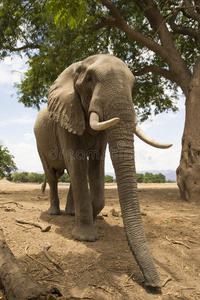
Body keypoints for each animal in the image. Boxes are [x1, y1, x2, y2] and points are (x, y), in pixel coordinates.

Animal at [34, 54, 172, 288]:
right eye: (89, 79)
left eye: (133, 85)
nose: (153, 284)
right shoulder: (66, 116)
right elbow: (76, 162)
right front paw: (85, 237)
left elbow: (96, 165)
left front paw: (88, 214)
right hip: (39, 141)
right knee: (52, 175)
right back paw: (55, 213)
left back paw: (70, 213)